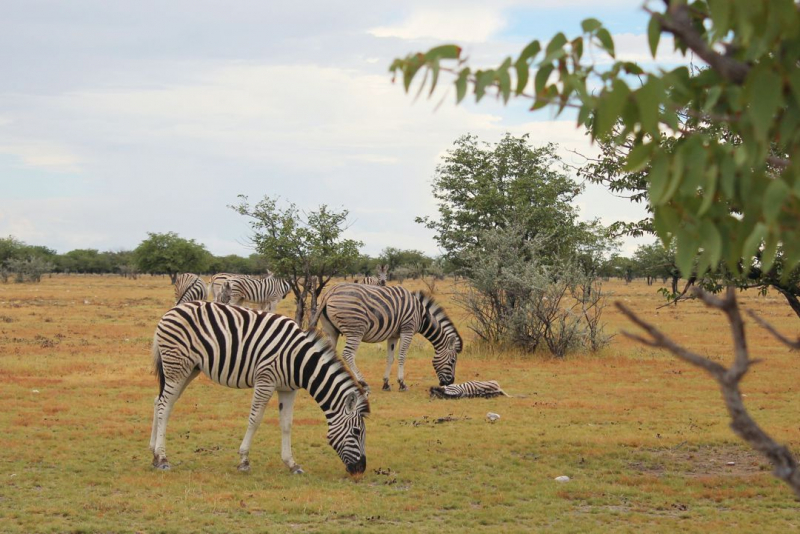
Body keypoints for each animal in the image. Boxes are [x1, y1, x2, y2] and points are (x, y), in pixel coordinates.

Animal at [149, 302, 368, 478]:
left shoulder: (288, 389)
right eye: (357, 431)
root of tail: (171, 311)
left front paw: (292, 464)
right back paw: (163, 459)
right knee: (165, 406)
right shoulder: (265, 380)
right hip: (177, 367)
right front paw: (244, 461)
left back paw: (154, 454)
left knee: (159, 401)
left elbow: (287, 424)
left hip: (189, 369)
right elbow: (255, 420)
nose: (361, 469)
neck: (300, 360)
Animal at [312, 284, 462, 394]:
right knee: (348, 354)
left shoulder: (393, 335)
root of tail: (329, 292)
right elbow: (402, 356)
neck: (421, 315)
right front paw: (402, 383)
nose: (450, 382)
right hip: (355, 329)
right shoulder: (407, 329)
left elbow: (390, 358)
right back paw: (363, 383)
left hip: (331, 331)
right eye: (453, 361)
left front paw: (386, 384)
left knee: (329, 353)